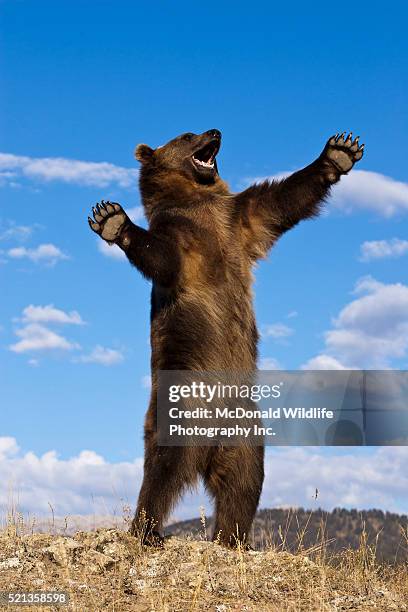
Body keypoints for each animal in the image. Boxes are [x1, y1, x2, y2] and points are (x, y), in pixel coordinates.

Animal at [87, 128, 364, 544]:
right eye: (188, 135)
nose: (215, 131)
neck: (197, 200)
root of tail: (207, 447)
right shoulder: (183, 240)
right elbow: (163, 258)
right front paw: (112, 220)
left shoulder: (238, 222)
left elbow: (282, 201)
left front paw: (339, 152)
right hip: (181, 410)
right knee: (162, 473)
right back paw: (146, 530)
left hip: (245, 431)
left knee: (242, 482)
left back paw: (232, 537)